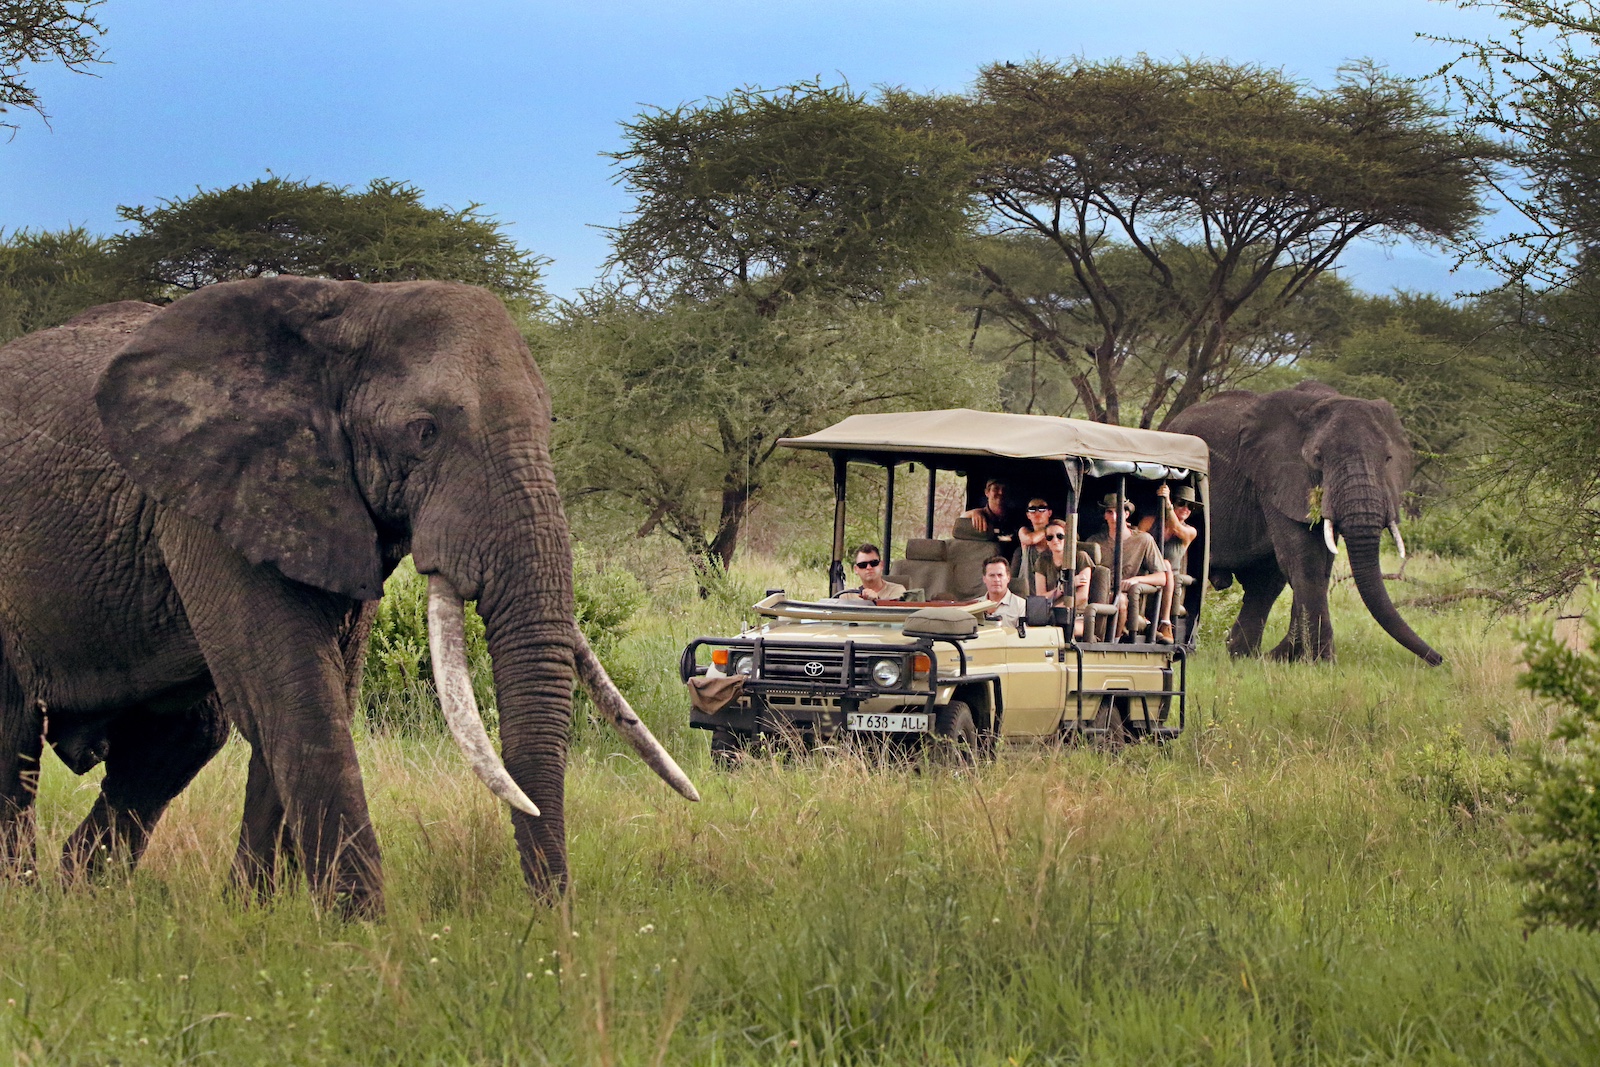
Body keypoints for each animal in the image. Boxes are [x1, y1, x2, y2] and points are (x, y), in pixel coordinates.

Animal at [0, 277, 698, 914]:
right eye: (424, 431)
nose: (552, 924)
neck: (353, 304)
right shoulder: (214, 496)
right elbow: (294, 695)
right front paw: (362, 935)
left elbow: (320, 687)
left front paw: (255, 918)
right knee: (15, 736)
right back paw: (26, 902)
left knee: (185, 738)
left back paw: (81, 896)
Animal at [1166, 381, 1442, 665]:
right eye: (1318, 458)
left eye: (1388, 459)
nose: (1439, 659)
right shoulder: (1275, 478)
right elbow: (1304, 559)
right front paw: (1323, 662)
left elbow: (1320, 564)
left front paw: (1298, 658)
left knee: (1265, 584)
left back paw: (1242, 655)